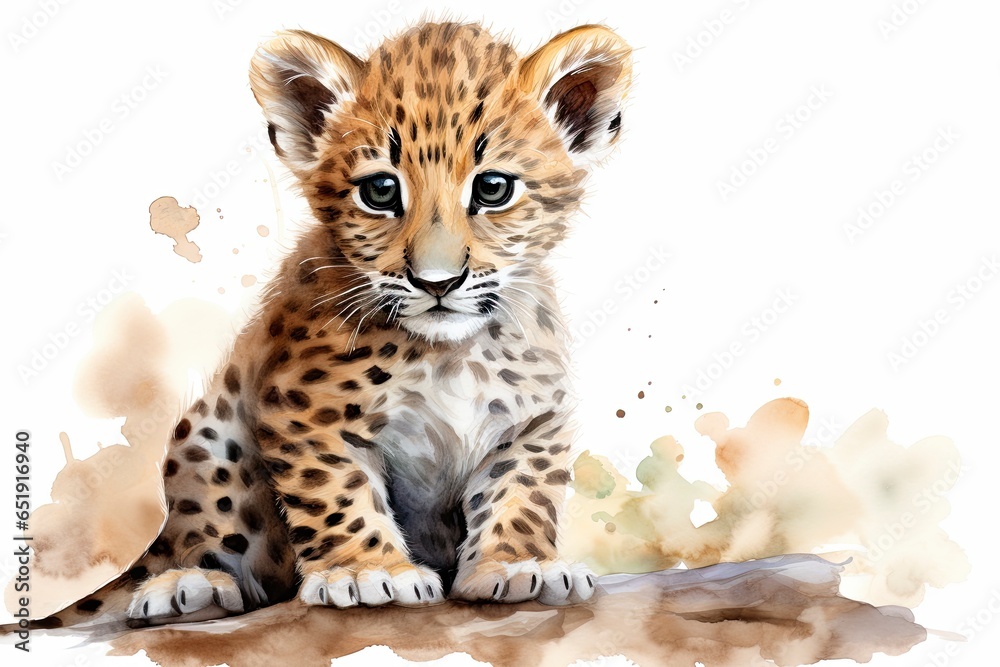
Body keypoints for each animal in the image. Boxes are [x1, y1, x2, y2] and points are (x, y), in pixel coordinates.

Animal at [39, 20, 633, 628]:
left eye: (493, 189)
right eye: (380, 191)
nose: (437, 282)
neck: (448, 353)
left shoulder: (533, 423)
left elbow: (521, 493)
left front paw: (517, 564)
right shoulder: (305, 414)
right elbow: (338, 494)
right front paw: (369, 573)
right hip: (209, 440)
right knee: (218, 548)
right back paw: (189, 585)